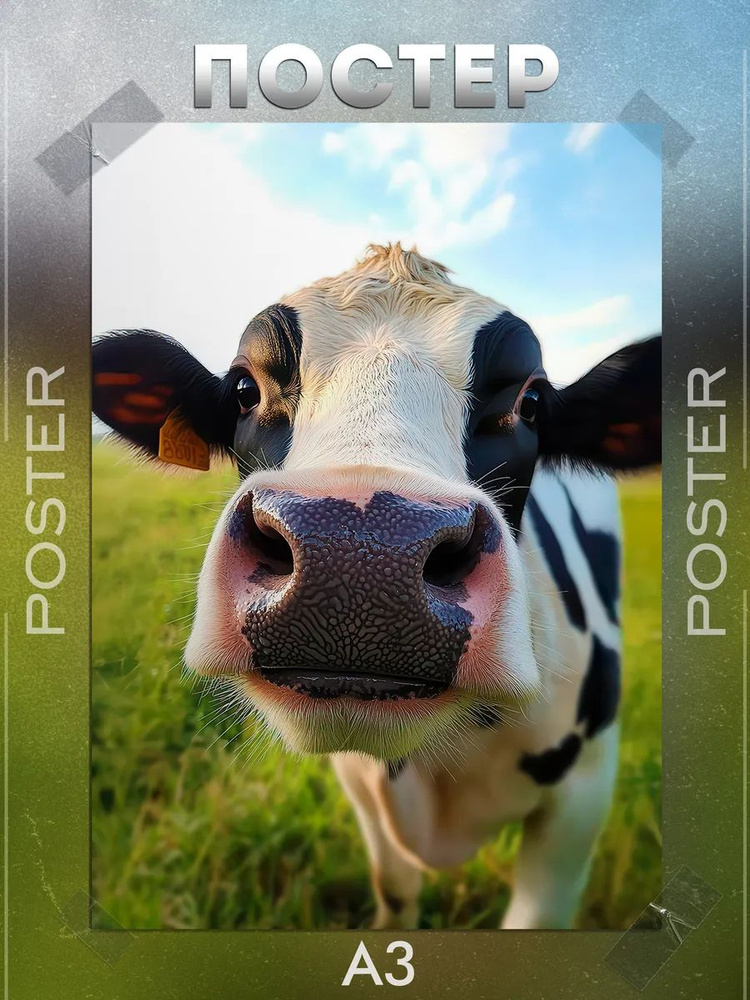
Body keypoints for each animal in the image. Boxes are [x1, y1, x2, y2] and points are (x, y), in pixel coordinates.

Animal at [92, 243, 661, 930]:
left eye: (529, 403)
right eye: (244, 388)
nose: (358, 556)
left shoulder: (584, 790)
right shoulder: (359, 783)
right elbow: (393, 889)